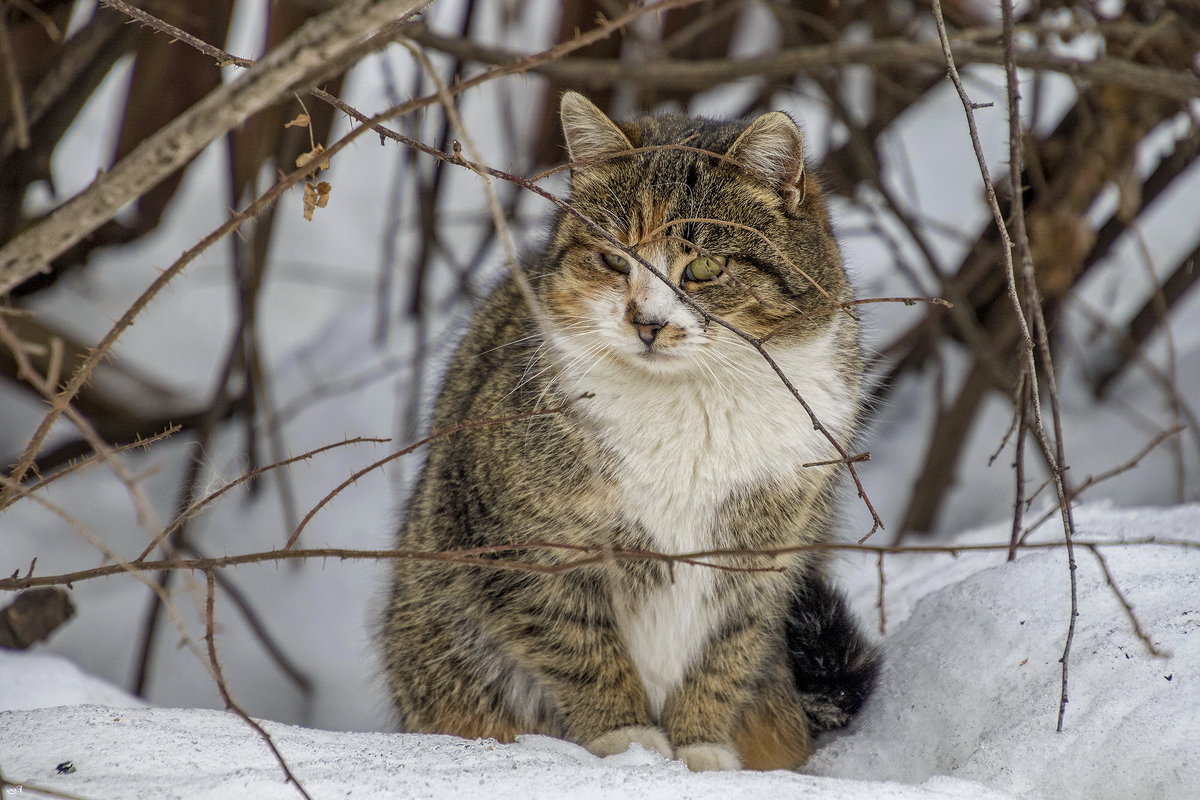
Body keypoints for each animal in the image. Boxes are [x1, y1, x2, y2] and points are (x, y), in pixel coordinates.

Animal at [379, 94, 878, 777]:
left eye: (705, 266)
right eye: (614, 259)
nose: (647, 323)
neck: (694, 404)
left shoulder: (763, 558)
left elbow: (725, 654)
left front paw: (700, 750)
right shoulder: (531, 548)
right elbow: (578, 645)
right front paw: (629, 742)